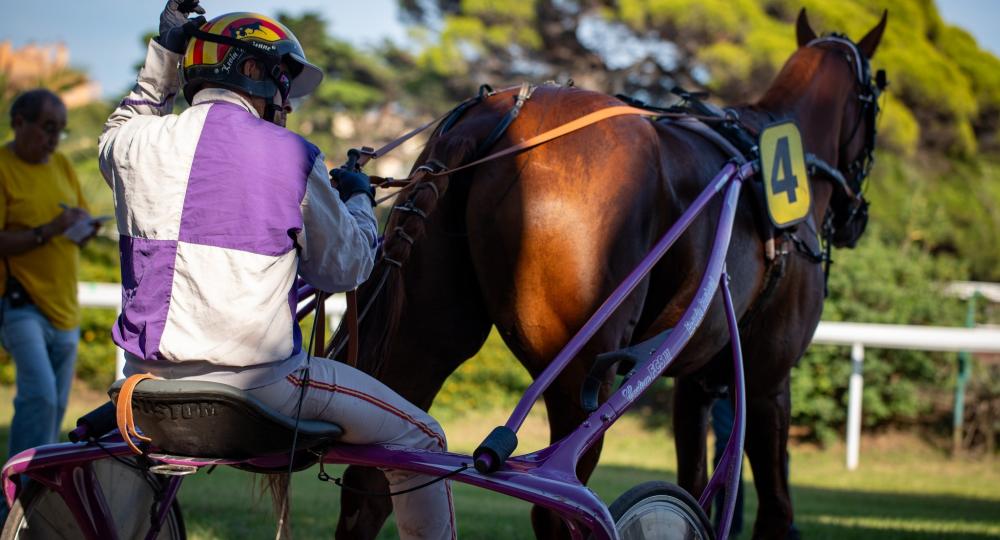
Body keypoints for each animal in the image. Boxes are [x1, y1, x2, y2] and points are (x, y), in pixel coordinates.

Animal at [334, 9, 884, 540]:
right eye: (876, 99)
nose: (858, 218)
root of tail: (495, 114)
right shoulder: (770, 376)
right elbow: (776, 508)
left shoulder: (697, 383)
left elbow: (695, 478)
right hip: (580, 373)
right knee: (557, 511)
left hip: (428, 339)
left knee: (371, 490)